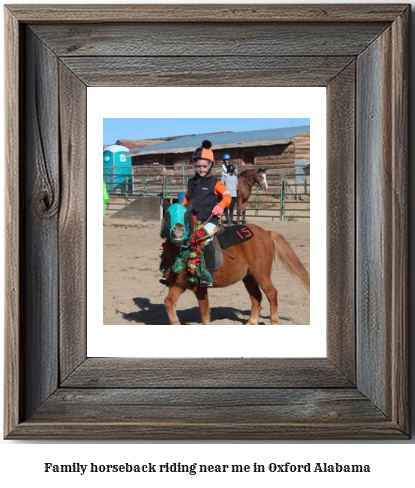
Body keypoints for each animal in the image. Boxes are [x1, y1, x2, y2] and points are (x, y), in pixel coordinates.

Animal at [159, 204, 308, 326]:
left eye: (186, 215)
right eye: (167, 214)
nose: (178, 230)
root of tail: (266, 232)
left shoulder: (200, 288)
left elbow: (204, 312)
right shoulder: (178, 285)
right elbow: (168, 302)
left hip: (261, 274)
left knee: (272, 294)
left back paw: (274, 321)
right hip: (249, 277)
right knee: (256, 297)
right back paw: (251, 322)